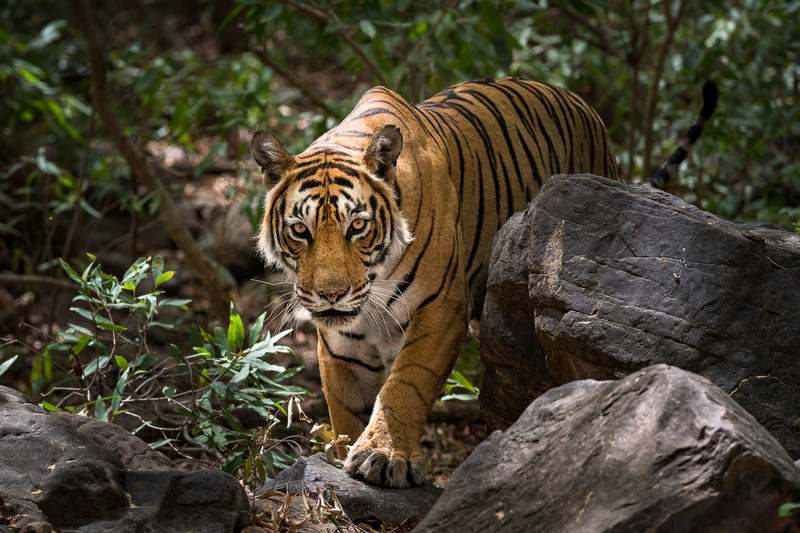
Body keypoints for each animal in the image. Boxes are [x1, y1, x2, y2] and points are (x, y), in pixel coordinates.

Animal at [251, 77, 717, 488]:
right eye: (300, 230)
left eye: (358, 226)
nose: (331, 294)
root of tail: (586, 107)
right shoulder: (343, 337)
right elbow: (347, 406)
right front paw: (345, 454)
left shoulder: (441, 308)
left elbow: (405, 384)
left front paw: (385, 455)